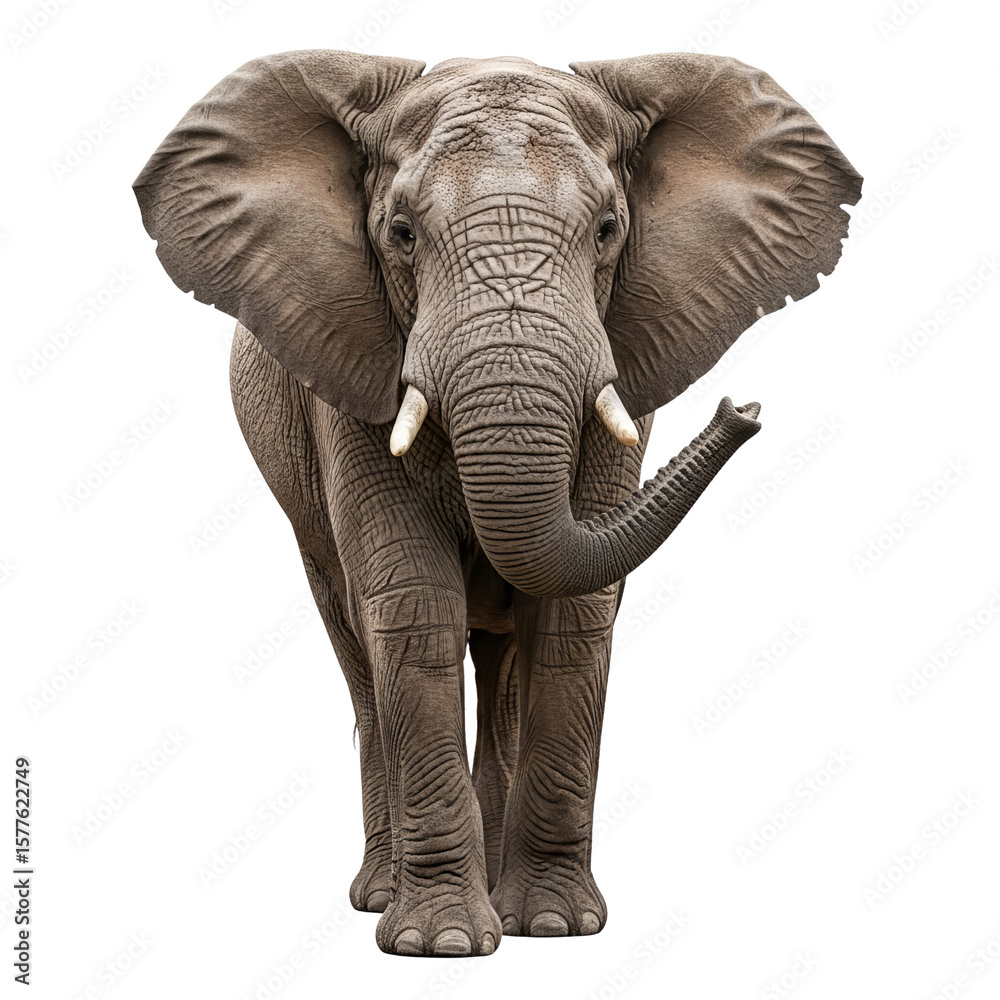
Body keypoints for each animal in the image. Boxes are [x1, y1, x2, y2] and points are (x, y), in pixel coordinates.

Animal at [133, 50, 861, 957]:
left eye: (608, 231)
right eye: (401, 234)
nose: (745, 410)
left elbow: (577, 611)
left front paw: (553, 927)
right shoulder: (349, 363)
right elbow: (414, 602)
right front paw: (439, 944)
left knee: (508, 662)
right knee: (359, 649)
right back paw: (381, 895)